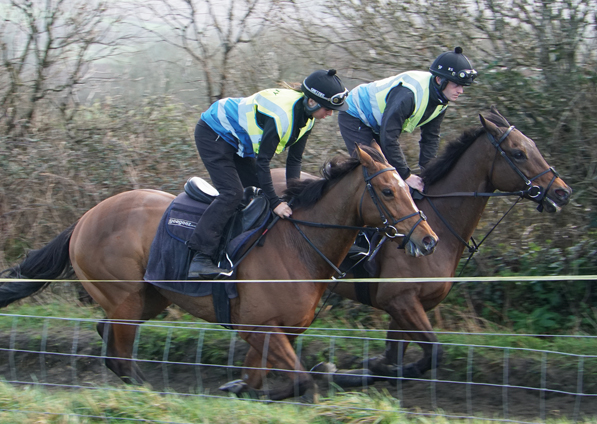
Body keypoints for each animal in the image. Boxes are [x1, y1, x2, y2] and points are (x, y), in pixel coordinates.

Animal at [0, 144, 438, 400]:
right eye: (387, 191)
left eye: (406, 186)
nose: (429, 239)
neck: (297, 245)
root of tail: (84, 219)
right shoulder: (258, 328)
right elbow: (299, 382)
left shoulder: (275, 332)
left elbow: (264, 378)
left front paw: (242, 388)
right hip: (126, 299)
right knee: (119, 354)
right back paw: (149, 396)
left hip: (148, 299)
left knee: (108, 338)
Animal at [274, 107, 572, 384]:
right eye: (519, 153)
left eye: (533, 146)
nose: (563, 192)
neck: (441, 224)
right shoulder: (400, 300)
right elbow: (433, 353)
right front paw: (348, 370)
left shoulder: (406, 306)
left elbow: (396, 355)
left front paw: (367, 368)